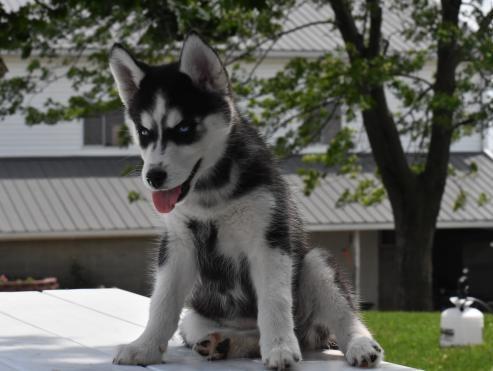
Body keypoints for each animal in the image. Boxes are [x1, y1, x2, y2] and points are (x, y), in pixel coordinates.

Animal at [109, 33, 382, 370]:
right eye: (144, 131)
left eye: (184, 128)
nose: (154, 177)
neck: (211, 191)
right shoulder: (178, 243)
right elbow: (162, 302)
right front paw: (145, 347)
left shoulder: (268, 240)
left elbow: (274, 301)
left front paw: (279, 348)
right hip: (197, 317)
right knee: (235, 330)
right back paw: (227, 343)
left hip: (315, 264)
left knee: (339, 316)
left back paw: (358, 344)